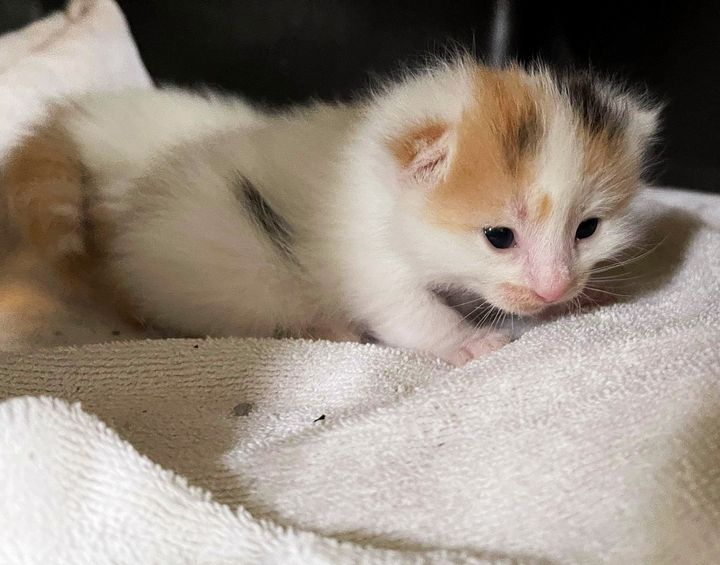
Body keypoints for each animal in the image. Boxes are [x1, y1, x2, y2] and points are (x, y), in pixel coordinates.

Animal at [1, 58, 660, 366]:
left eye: (588, 229)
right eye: (499, 236)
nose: (552, 290)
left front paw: (586, 295)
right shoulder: (366, 257)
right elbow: (410, 314)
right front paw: (470, 343)